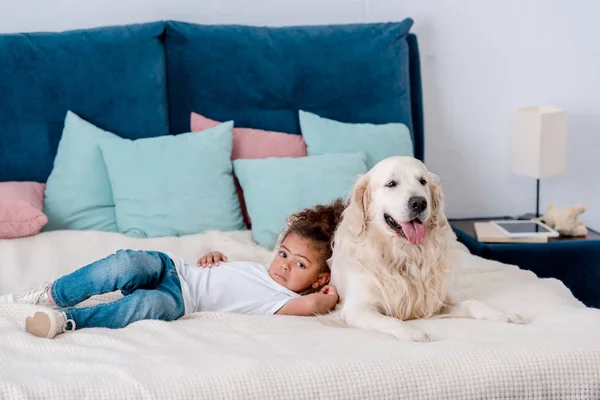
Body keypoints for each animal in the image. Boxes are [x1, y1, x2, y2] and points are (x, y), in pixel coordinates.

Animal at [330, 156, 524, 340]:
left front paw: (505, 315)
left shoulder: (437, 302)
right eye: (391, 184)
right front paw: (414, 333)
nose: (419, 203)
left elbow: (472, 303)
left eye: (422, 181)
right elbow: (391, 320)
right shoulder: (356, 310)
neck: (405, 254)